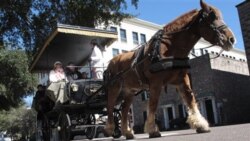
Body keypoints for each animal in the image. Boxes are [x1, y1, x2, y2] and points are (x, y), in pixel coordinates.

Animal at [104, 0, 236, 139]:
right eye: (212, 17)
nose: (231, 39)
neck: (170, 48)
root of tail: (111, 62)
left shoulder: (182, 79)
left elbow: (190, 99)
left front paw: (200, 124)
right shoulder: (156, 83)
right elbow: (153, 104)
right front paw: (152, 129)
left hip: (129, 92)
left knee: (124, 110)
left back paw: (127, 132)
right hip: (114, 89)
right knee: (110, 106)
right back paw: (109, 129)